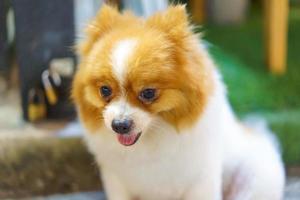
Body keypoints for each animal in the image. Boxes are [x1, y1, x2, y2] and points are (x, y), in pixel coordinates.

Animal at [71, 4, 284, 200]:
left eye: (148, 93)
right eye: (105, 90)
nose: (119, 125)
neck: (152, 139)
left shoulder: (200, 180)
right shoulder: (117, 181)